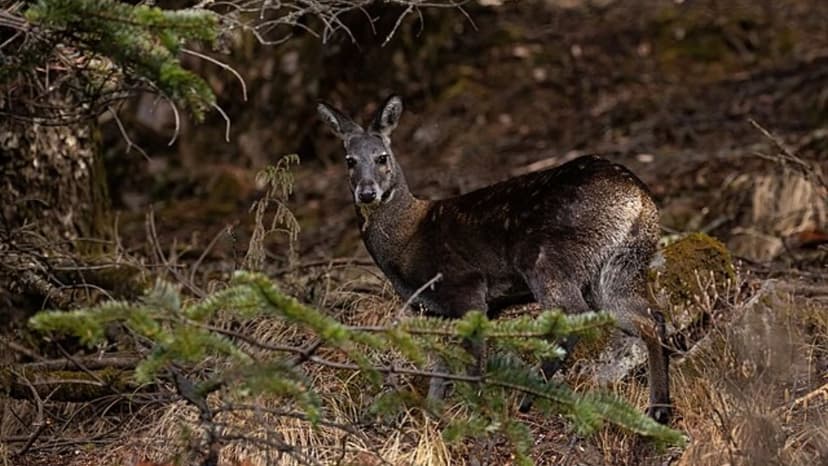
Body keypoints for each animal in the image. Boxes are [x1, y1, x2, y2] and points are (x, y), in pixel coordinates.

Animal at [317, 95, 672, 424]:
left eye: (382, 157)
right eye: (349, 160)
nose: (366, 192)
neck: (406, 242)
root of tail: (638, 197)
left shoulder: (465, 286)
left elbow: (473, 364)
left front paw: (475, 413)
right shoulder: (434, 311)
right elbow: (440, 369)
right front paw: (434, 416)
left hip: (548, 259)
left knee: (576, 316)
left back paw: (527, 396)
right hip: (618, 268)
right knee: (651, 318)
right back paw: (659, 410)